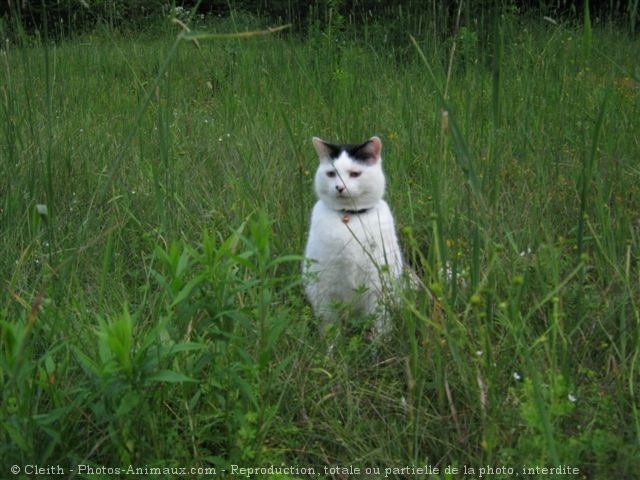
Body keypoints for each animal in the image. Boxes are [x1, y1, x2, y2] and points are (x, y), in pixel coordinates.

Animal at [302, 135, 402, 338]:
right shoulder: (324, 284)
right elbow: (330, 325)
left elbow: (380, 323)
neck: (350, 217)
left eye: (355, 174)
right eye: (331, 174)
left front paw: (379, 343)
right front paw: (332, 344)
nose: (339, 187)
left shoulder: (377, 282)